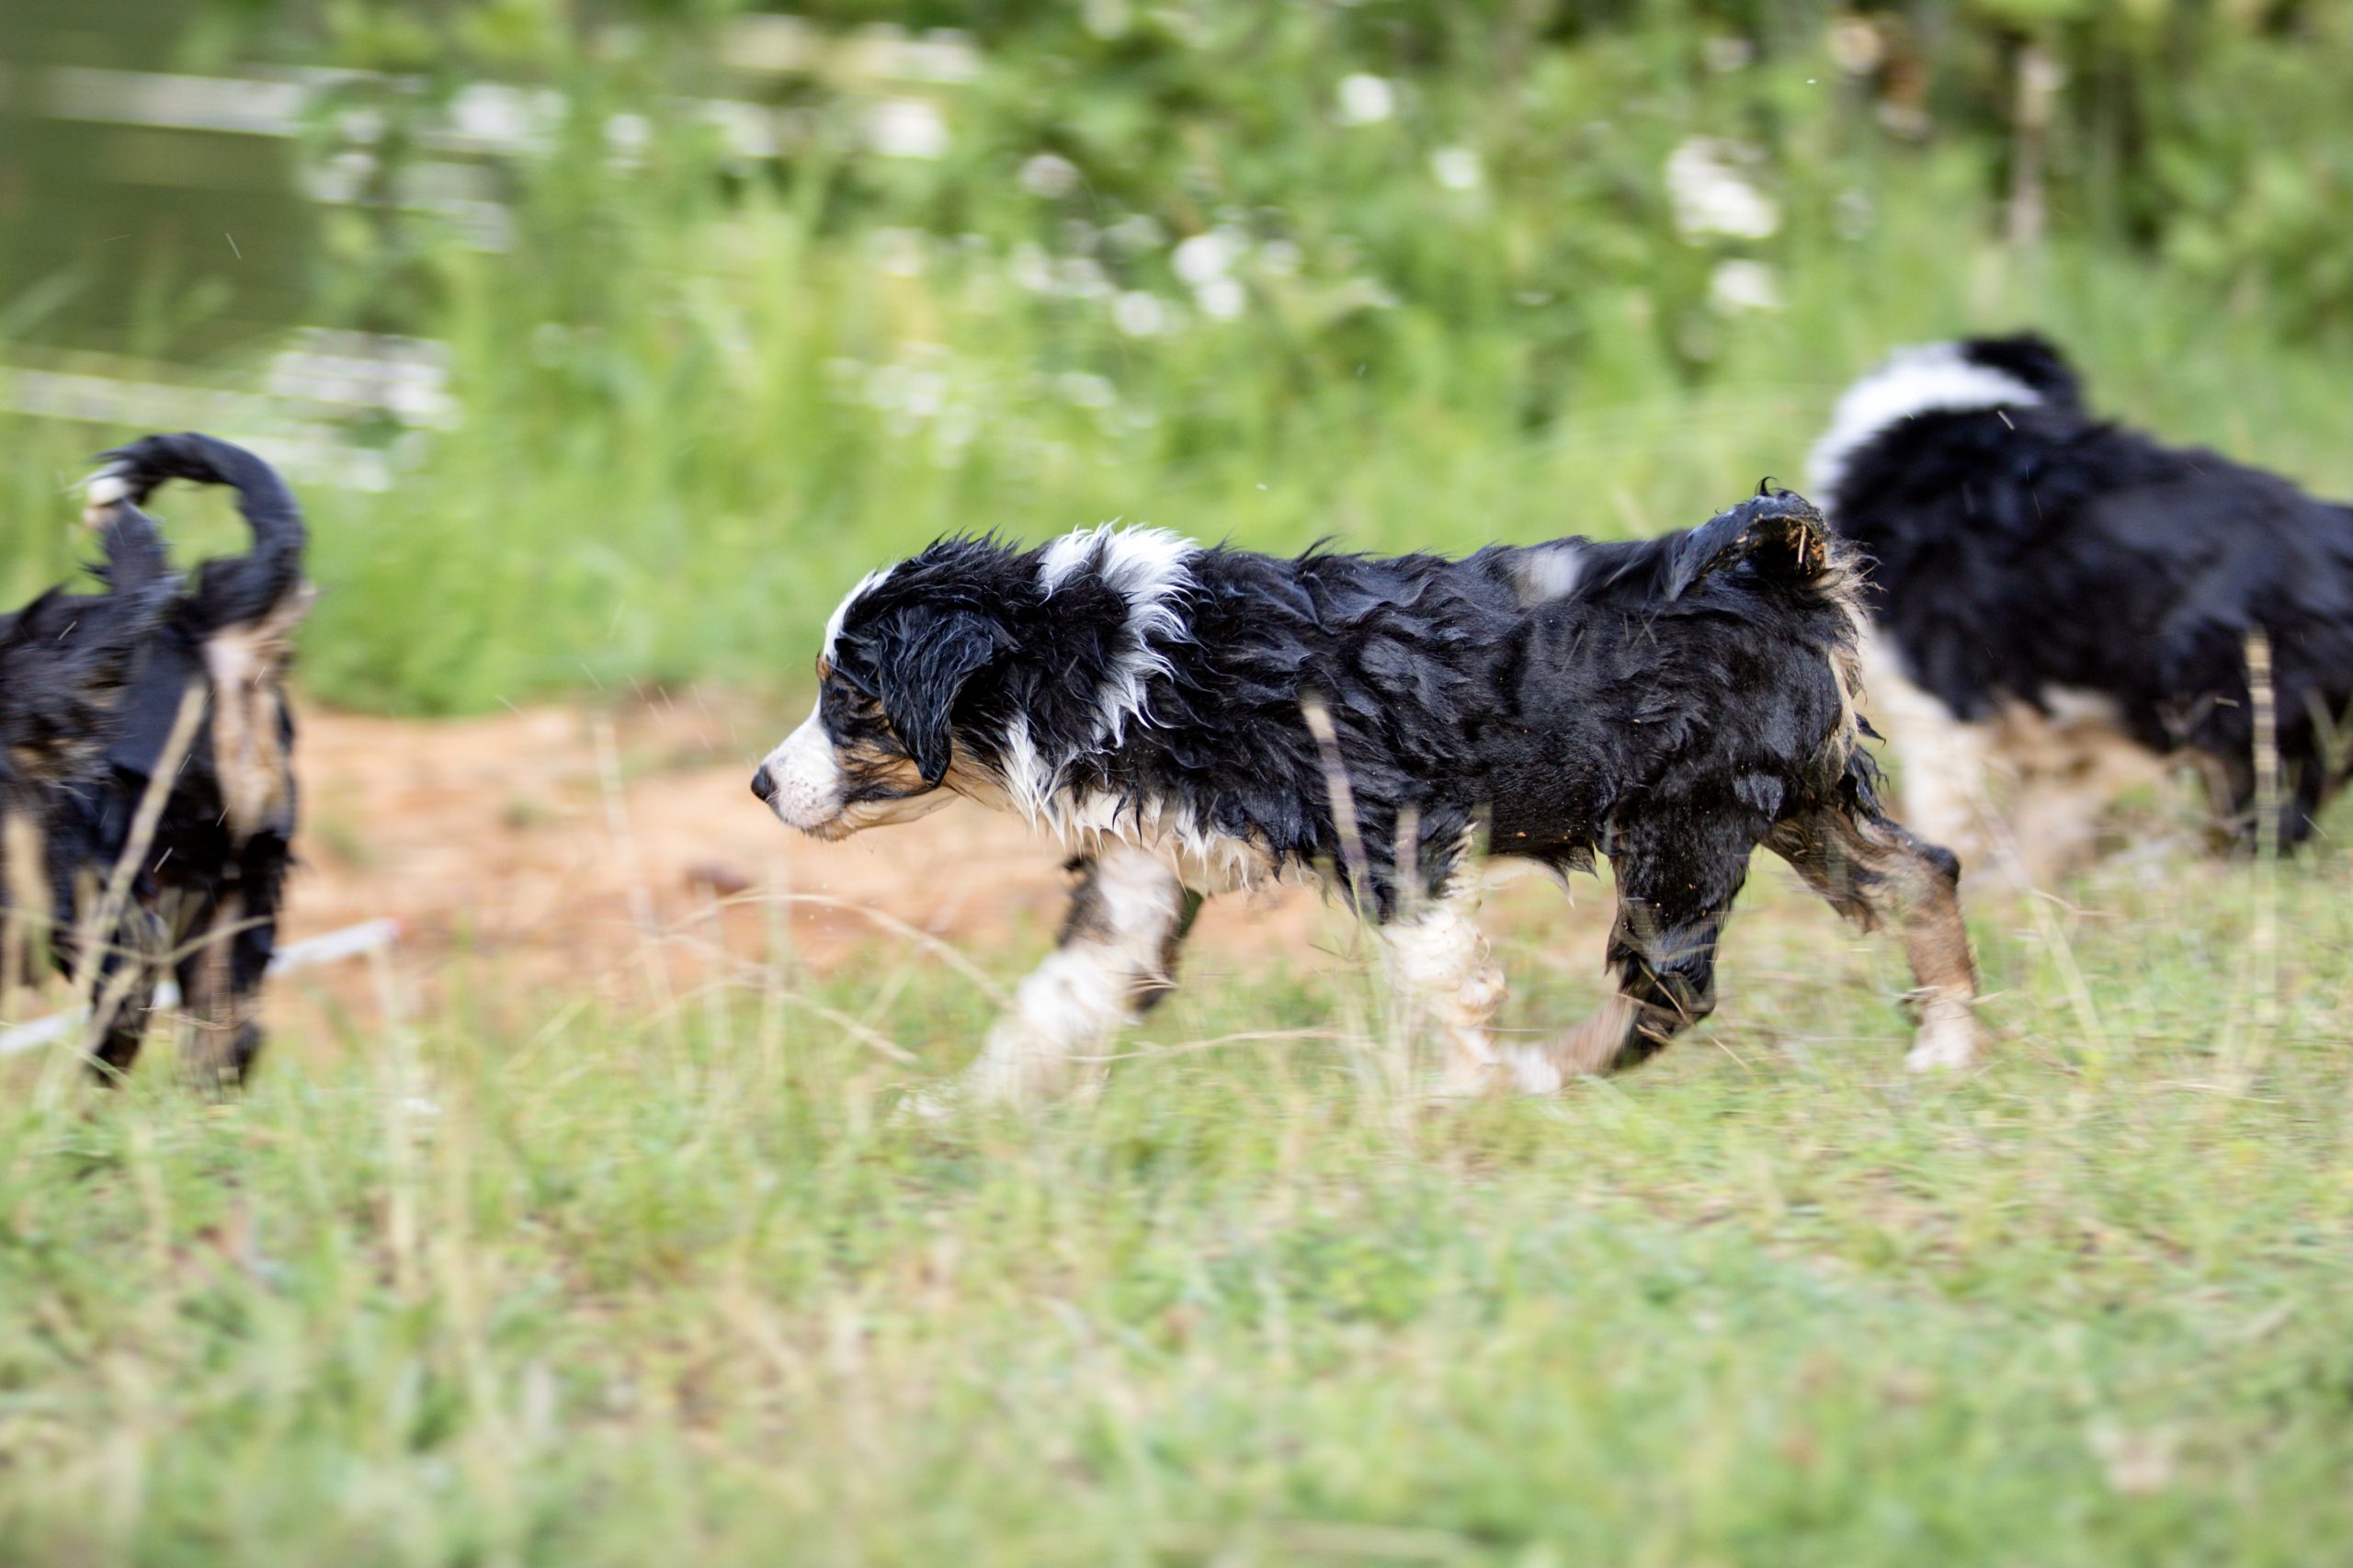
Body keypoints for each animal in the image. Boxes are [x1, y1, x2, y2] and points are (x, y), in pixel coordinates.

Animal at [751, 490, 1985, 1104]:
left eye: (847, 699)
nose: (761, 784)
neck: (1097, 649)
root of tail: (1781, 570)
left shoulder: (1395, 827)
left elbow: (1445, 978)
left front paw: (1467, 1089)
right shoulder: (1137, 873)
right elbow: (1058, 1001)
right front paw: (965, 1109)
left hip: (1684, 823)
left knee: (1671, 987)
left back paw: (1540, 1074)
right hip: (1800, 798)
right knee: (1920, 871)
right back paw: (1950, 1047)